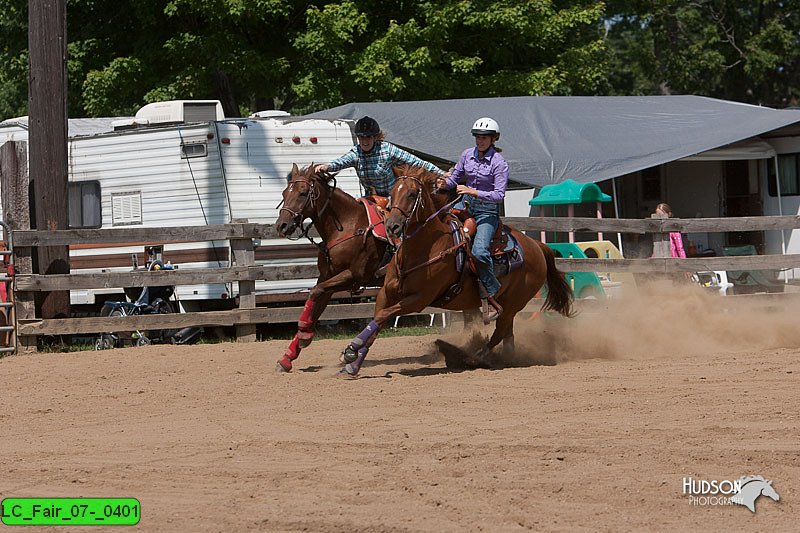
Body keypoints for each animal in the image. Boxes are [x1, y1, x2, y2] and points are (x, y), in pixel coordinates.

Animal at [274, 162, 390, 370]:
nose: (282, 226)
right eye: (284, 193)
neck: (348, 226)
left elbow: (314, 292)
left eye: (303, 193)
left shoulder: (354, 276)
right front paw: (288, 357)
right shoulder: (327, 278)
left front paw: (304, 333)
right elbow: (316, 300)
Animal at [340, 165, 572, 374]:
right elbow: (377, 320)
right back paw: (505, 358)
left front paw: (351, 349)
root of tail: (537, 246)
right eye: (392, 192)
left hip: (514, 303)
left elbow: (382, 317)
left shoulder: (418, 300)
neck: (424, 249)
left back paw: (475, 357)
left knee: (499, 331)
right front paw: (353, 362)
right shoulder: (384, 293)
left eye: (412, 194)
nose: (392, 226)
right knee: (507, 333)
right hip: (510, 306)